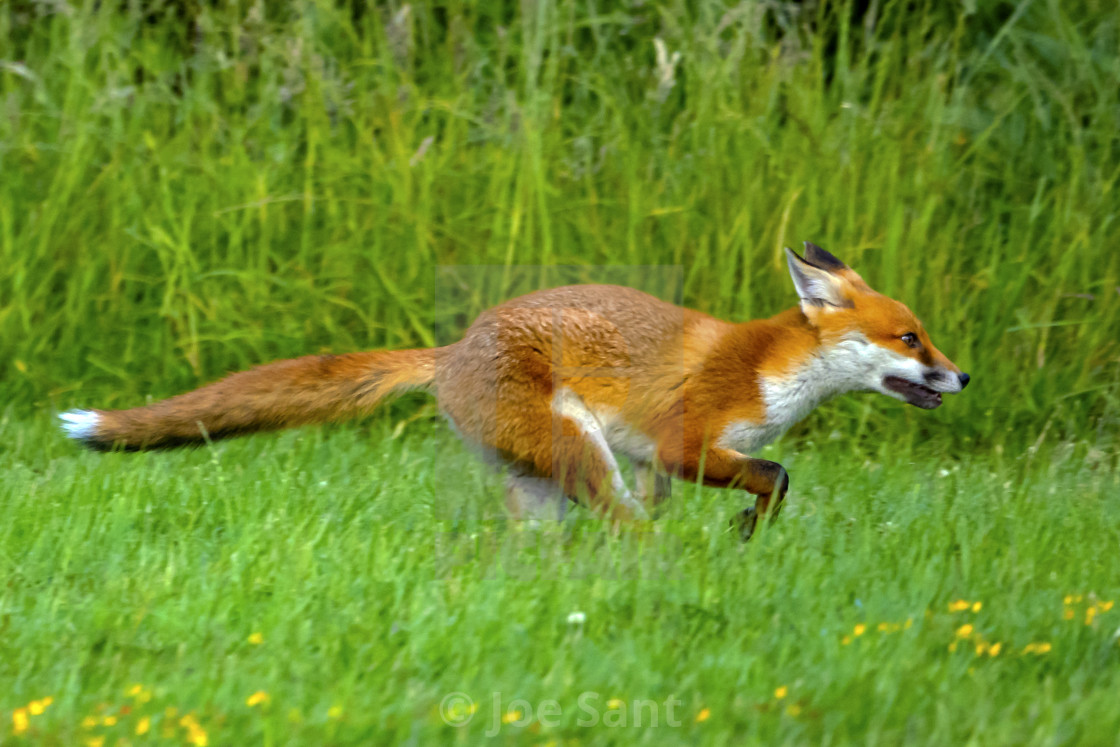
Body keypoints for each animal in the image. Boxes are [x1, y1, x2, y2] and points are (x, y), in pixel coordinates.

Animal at [63, 244, 972, 537]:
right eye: (910, 337)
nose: (964, 375)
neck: (771, 373)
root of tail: (453, 346)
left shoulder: (662, 463)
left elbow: (767, 483)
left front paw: (747, 536)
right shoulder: (684, 444)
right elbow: (777, 476)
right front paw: (748, 533)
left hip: (546, 477)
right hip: (582, 454)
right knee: (628, 533)